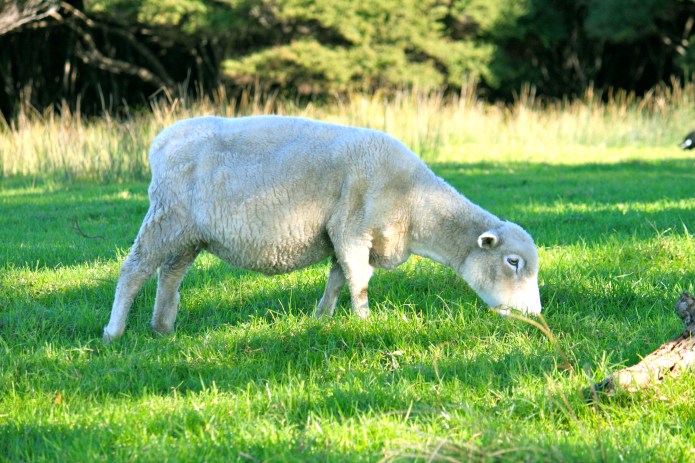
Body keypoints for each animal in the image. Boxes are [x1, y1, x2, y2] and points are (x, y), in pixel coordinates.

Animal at [103, 115, 542, 342]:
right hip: (166, 216)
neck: (416, 204)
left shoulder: (342, 236)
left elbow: (337, 279)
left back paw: (162, 328)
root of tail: (162, 139)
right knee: (134, 270)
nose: (536, 314)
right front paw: (365, 323)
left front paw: (322, 320)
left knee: (169, 274)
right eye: (513, 262)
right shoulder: (352, 229)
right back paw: (114, 331)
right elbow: (359, 281)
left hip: (188, 233)